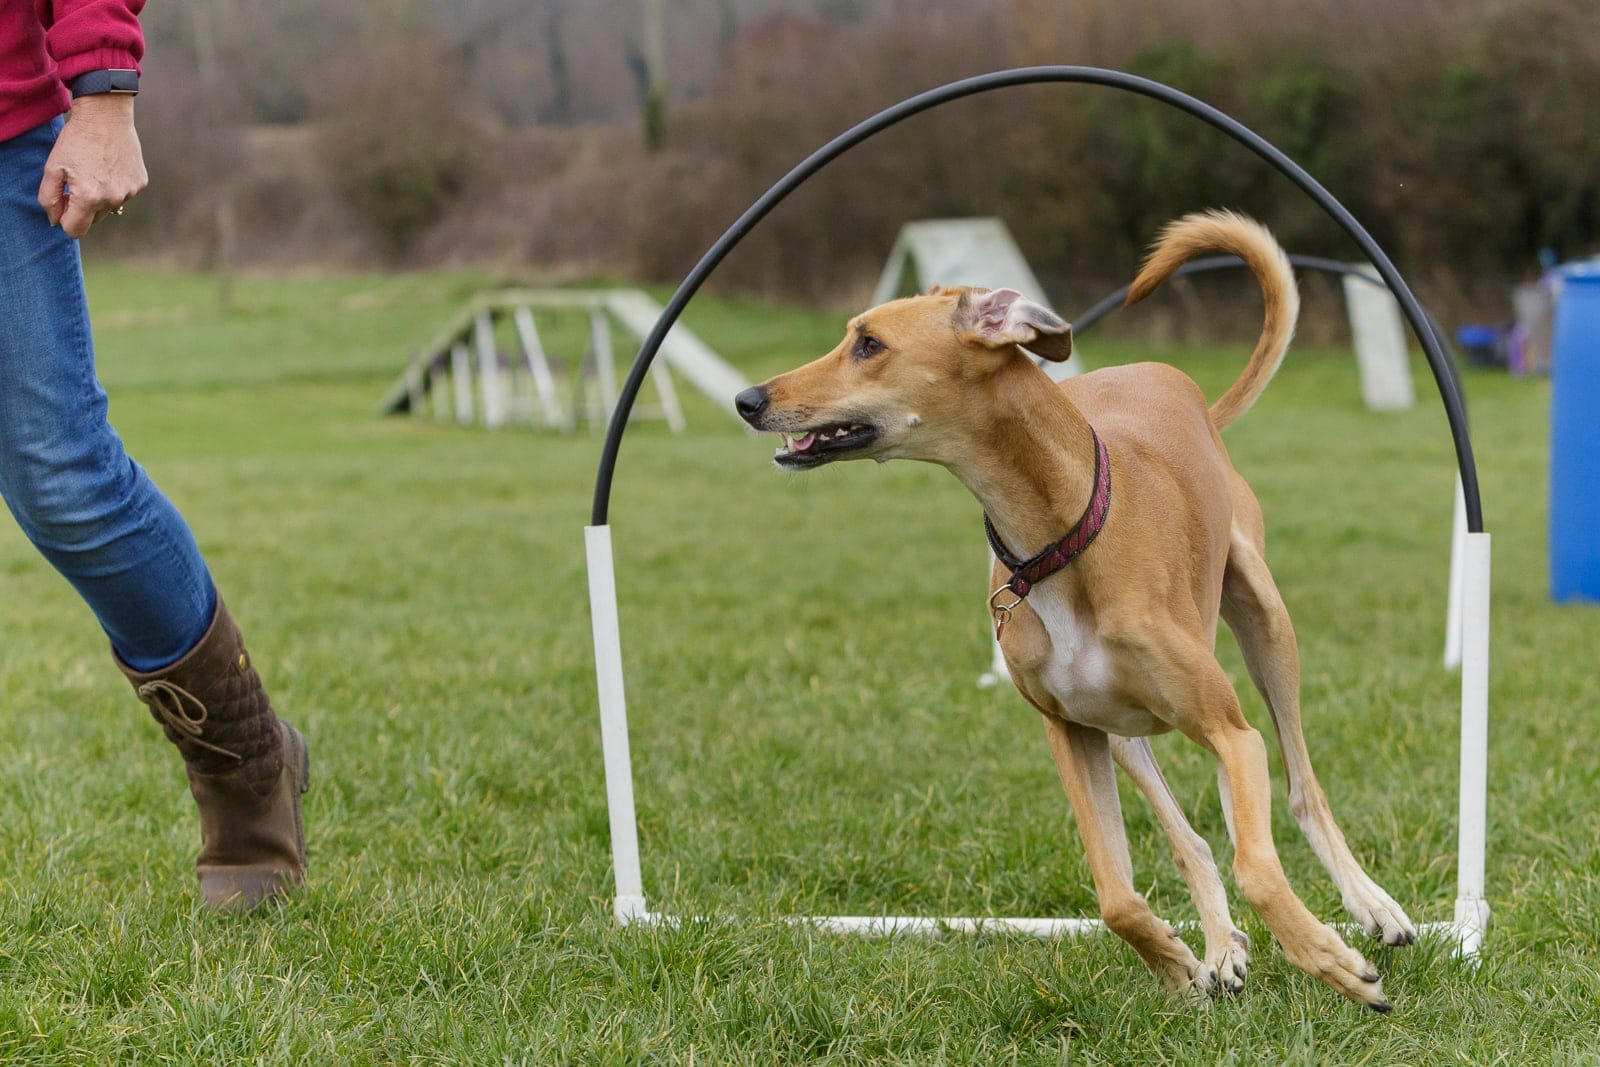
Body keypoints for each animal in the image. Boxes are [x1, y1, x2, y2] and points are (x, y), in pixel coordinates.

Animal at [732, 207, 1420, 1011]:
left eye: (868, 343)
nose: (748, 400)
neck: (1060, 538)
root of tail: (1178, 386)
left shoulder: (1230, 731)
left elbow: (1257, 860)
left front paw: (1333, 961)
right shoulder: (1071, 733)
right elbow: (1118, 896)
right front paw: (1182, 962)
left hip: (1266, 628)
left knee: (1301, 785)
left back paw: (1371, 908)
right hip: (1122, 728)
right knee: (1189, 836)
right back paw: (1222, 946)